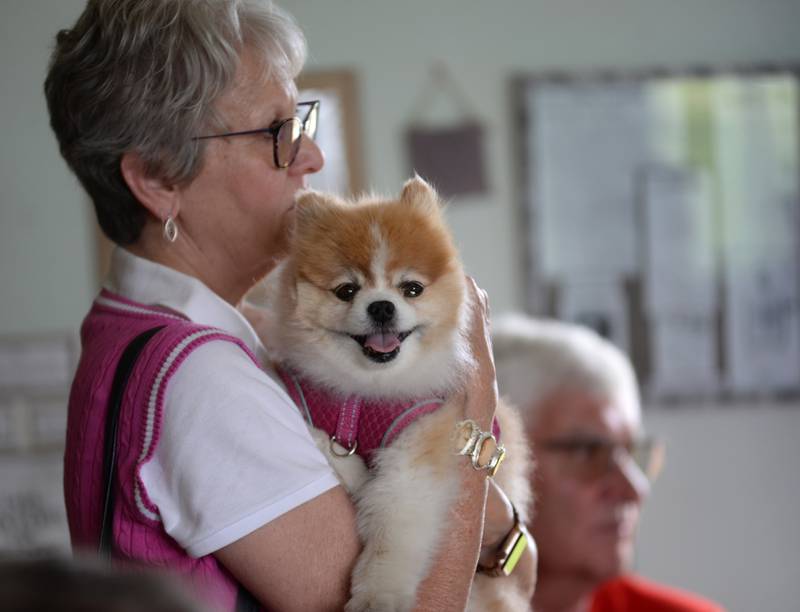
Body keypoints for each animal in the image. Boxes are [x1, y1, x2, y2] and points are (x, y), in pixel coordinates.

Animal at [253, 177, 536, 612]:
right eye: (346, 290)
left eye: (412, 288)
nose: (382, 307)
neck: (368, 392)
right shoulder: (316, 407)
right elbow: (334, 452)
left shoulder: (420, 441)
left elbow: (393, 528)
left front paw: (376, 596)